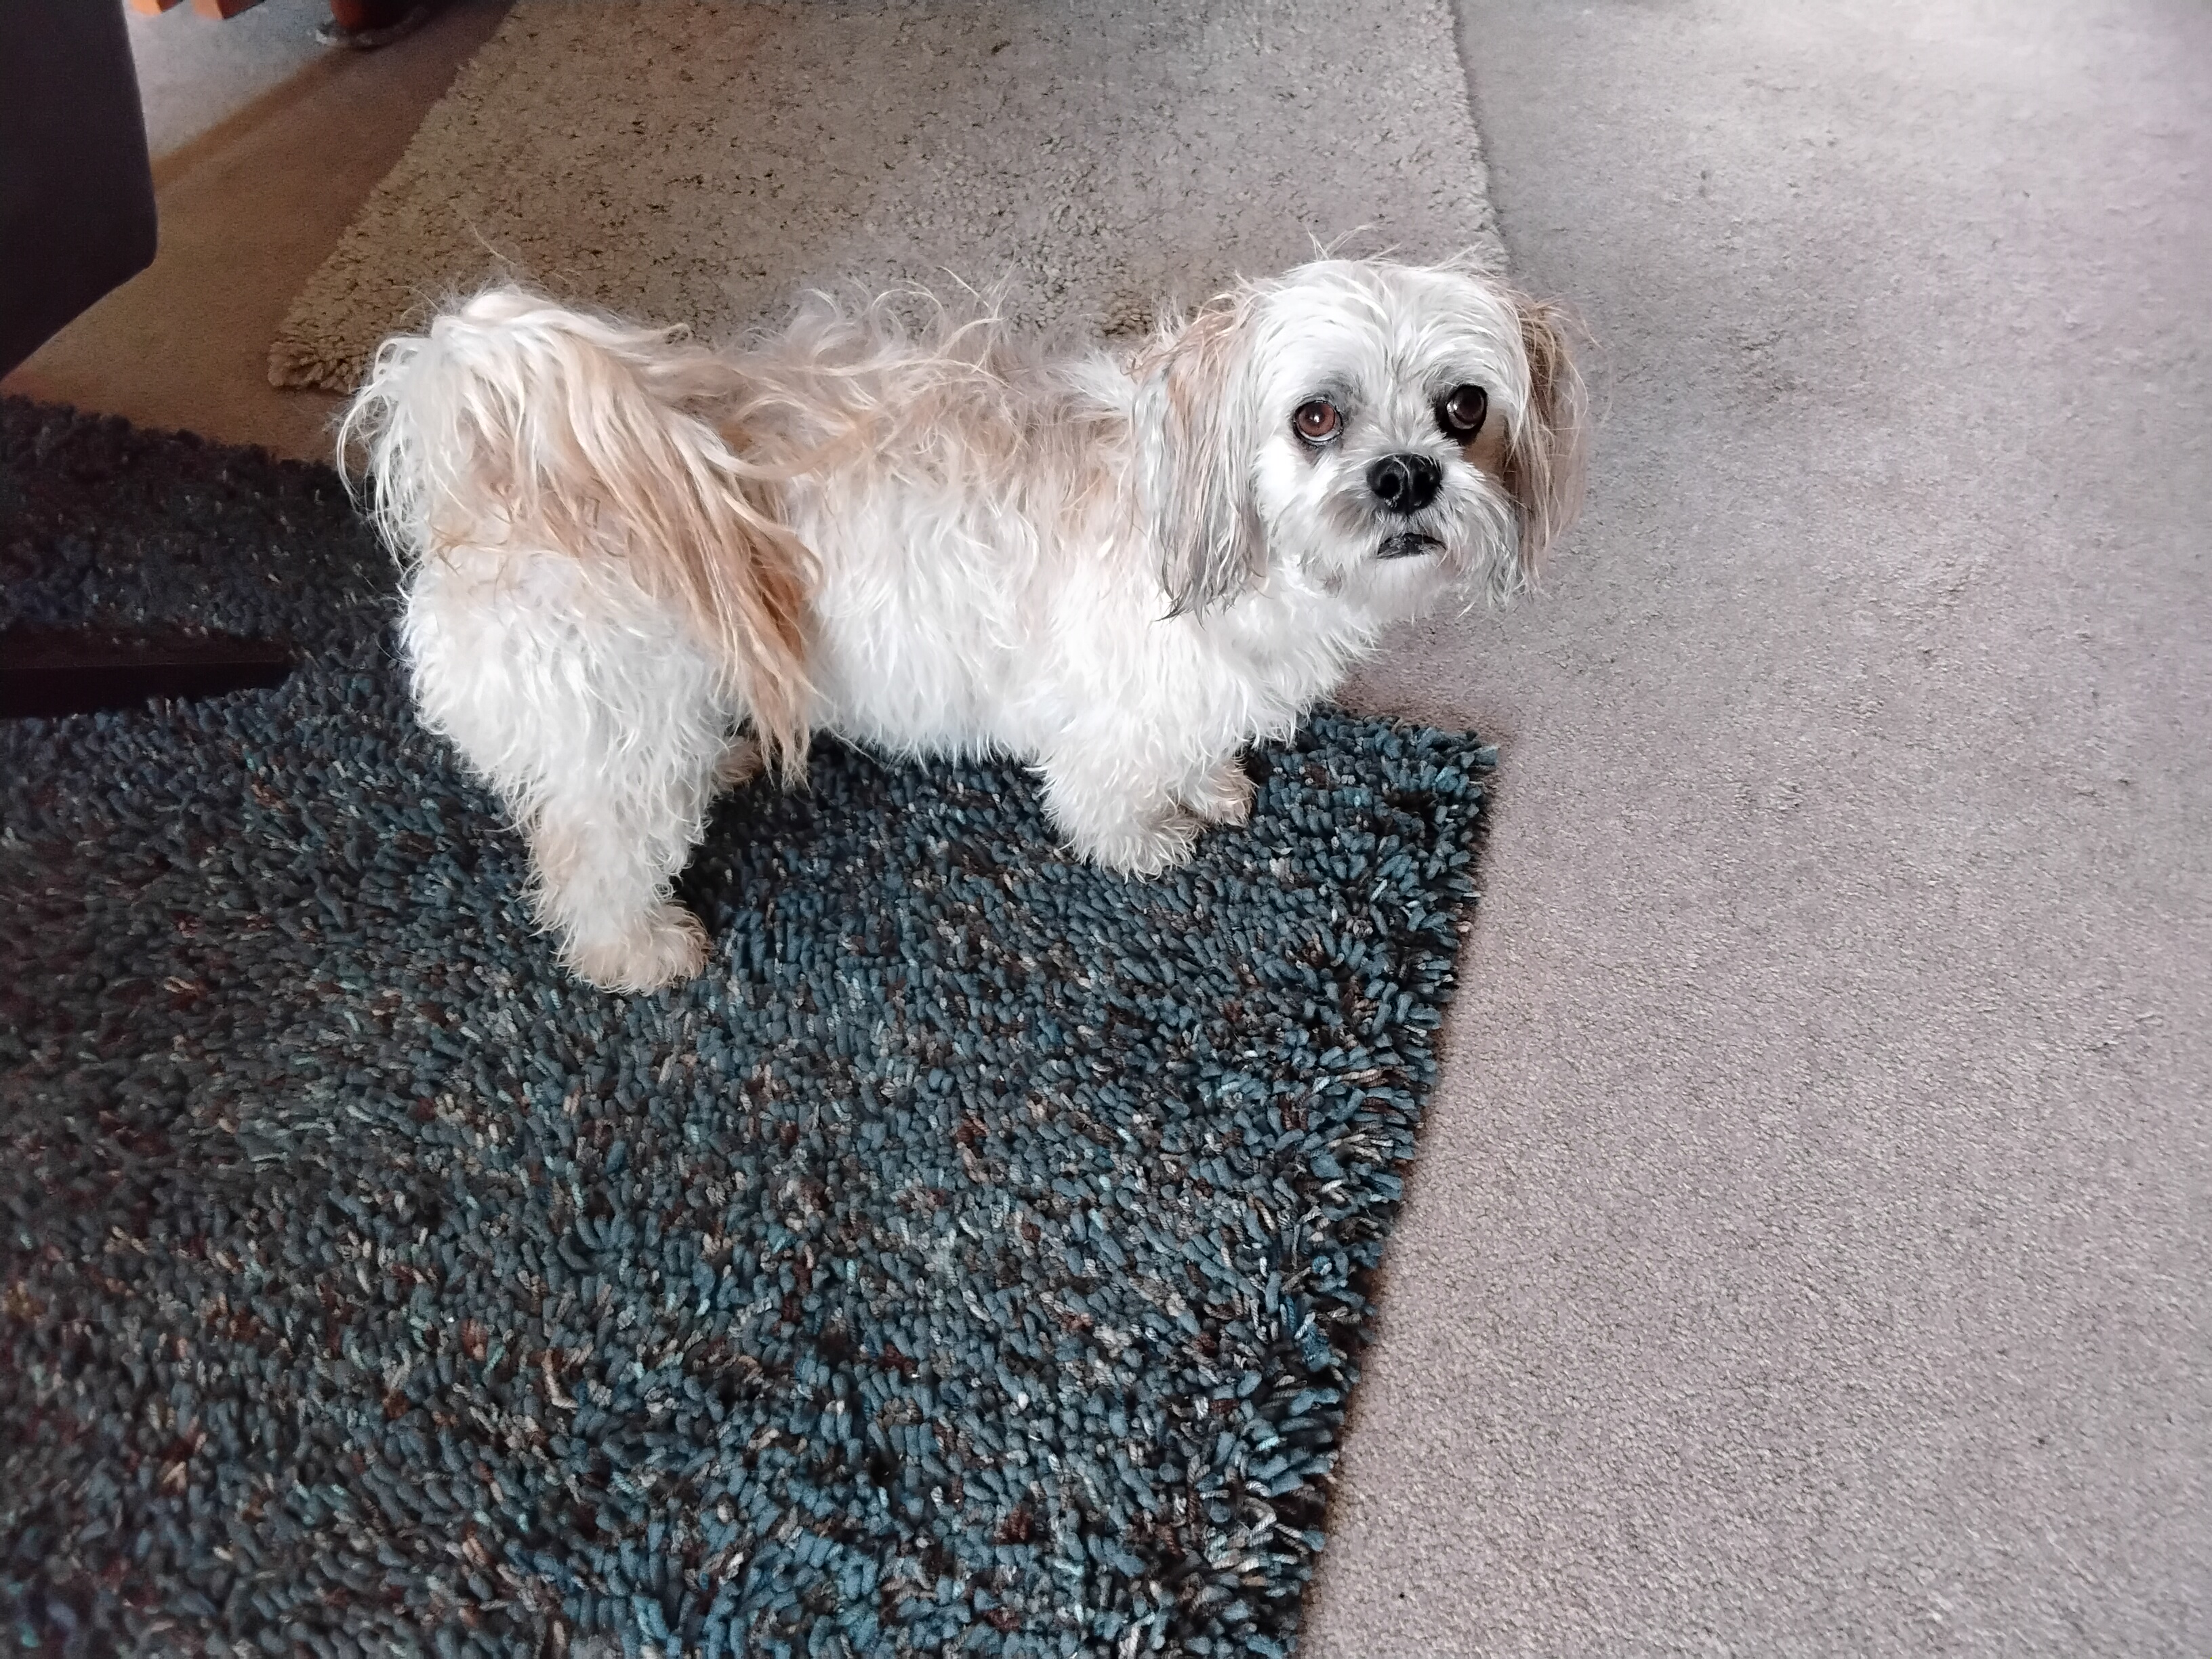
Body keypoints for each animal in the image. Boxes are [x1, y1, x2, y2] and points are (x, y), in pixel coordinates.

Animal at [341, 257, 1582, 991]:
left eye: (1463, 407)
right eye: (1313, 418)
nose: (1405, 476)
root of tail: (483, 483)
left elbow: (1197, 751)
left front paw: (1212, 786)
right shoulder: (1112, 712)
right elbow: (1106, 796)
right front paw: (1147, 841)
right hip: (614, 745)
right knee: (588, 862)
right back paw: (636, 952)